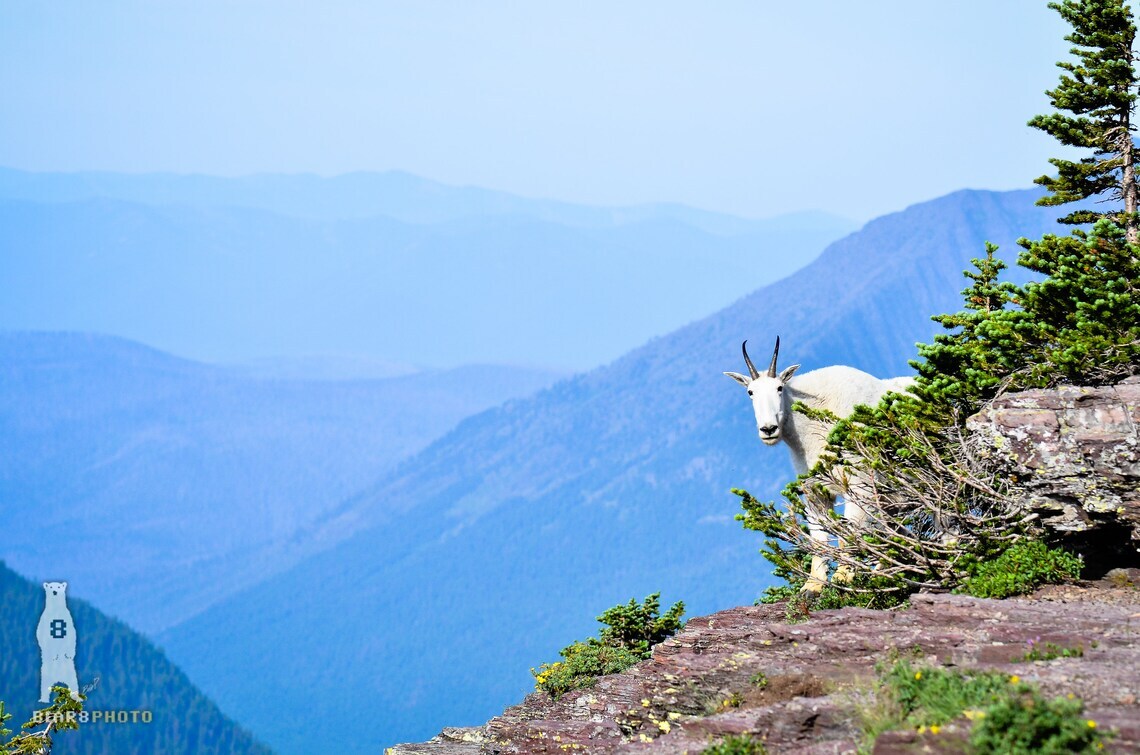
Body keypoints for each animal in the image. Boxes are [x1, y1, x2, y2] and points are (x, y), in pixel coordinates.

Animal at [725, 337, 915, 591]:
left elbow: (850, 529)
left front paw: (844, 576)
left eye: (779, 388)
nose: (768, 429)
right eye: (750, 392)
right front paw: (812, 586)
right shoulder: (814, 489)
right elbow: (818, 536)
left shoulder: (858, 483)